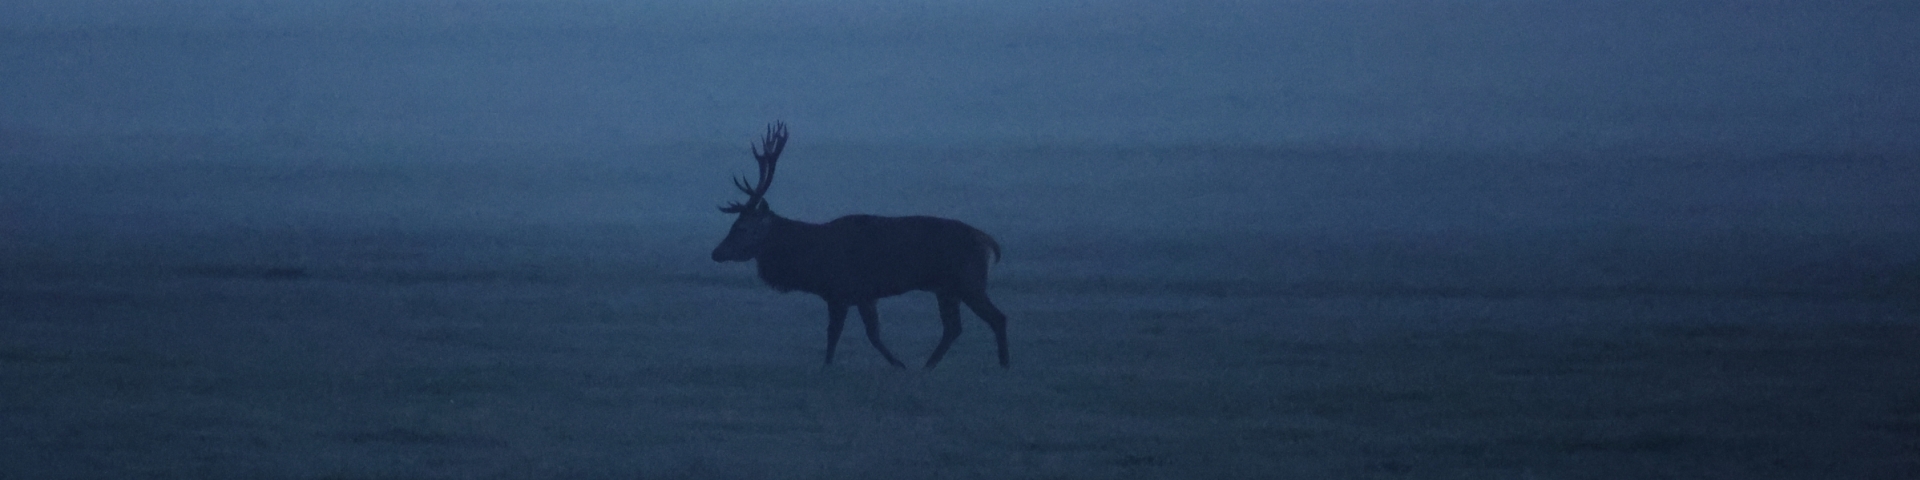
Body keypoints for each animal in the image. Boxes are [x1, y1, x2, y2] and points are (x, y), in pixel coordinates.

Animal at [710, 122, 1010, 369]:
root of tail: (989, 242)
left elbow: (838, 334)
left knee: (997, 317)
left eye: (742, 228)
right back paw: (928, 366)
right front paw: (899, 364)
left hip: (968, 280)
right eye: (733, 225)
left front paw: (830, 367)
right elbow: (871, 334)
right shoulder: (861, 295)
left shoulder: (843, 290)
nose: (716, 253)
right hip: (946, 288)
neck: (812, 261)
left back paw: (1003, 365)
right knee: (953, 327)